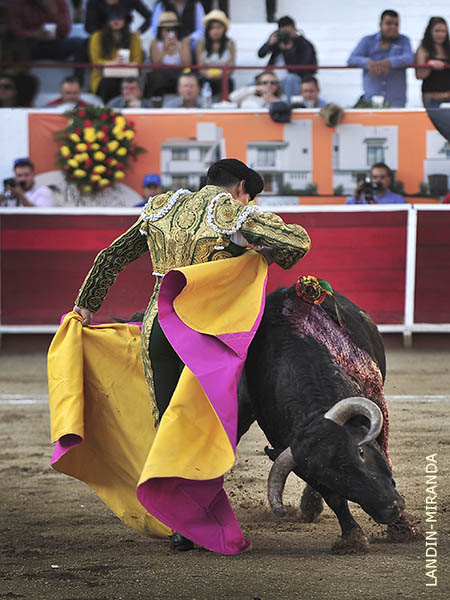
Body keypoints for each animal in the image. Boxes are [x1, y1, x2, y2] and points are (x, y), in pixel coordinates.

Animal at [237, 277, 416, 554]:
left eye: (360, 452)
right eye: (328, 478)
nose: (389, 510)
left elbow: (386, 456)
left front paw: (402, 529)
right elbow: (334, 499)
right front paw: (352, 536)